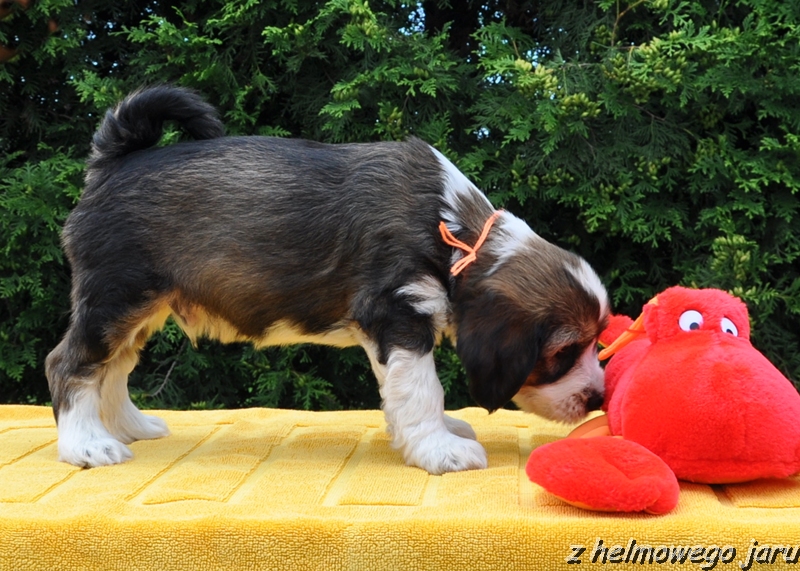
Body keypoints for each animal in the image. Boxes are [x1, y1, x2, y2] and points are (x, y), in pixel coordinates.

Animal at [46, 85, 610, 475]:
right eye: (563, 352)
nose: (598, 400)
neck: (453, 232)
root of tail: (114, 163)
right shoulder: (399, 315)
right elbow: (422, 389)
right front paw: (440, 449)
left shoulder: (393, 328)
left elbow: (402, 392)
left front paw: (433, 433)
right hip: (114, 299)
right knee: (71, 365)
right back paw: (87, 444)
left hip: (138, 308)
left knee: (114, 369)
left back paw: (130, 426)